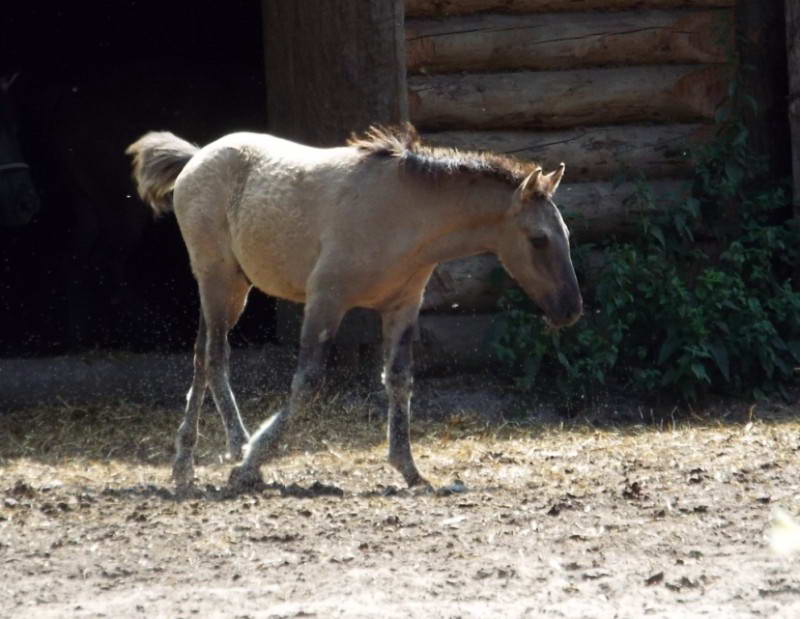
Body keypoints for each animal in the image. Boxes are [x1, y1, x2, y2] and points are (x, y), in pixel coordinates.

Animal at [126, 124, 580, 490]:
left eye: (566, 234)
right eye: (538, 239)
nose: (570, 310)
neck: (402, 213)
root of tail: (196, 157)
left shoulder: (402, 308)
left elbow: (399, 381)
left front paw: (408, 468)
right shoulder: (326, 300)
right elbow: (308, 382)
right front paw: (253, 461)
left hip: (231, 288)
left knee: (203, 358)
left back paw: (195, 460)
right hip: (218, 281)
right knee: (214, 357)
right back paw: (229, 452)